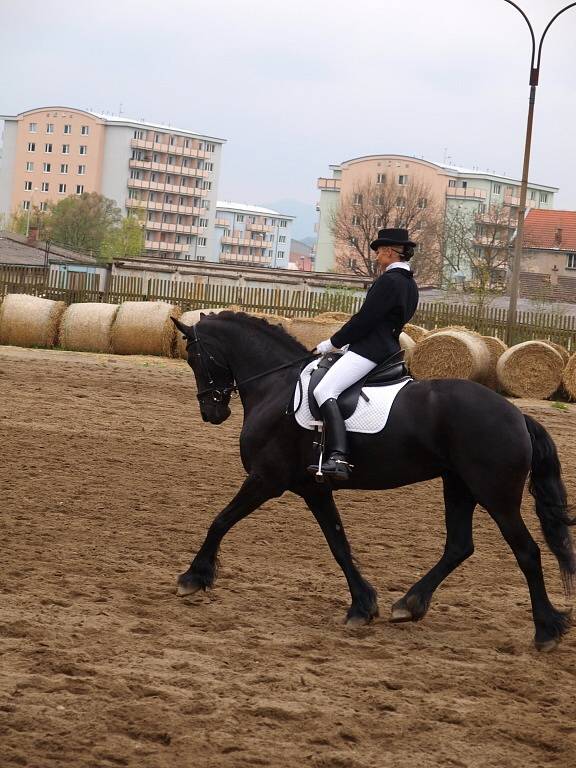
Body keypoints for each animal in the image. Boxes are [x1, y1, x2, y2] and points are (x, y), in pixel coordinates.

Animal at [173, 310, 572, 648]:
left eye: (195, 358)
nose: (212, 412)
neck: (277, 387)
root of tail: (518, 415)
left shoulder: (266, 479)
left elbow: (220, 521)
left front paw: (192, 577)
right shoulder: (313, 488)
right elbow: (339, 544)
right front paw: (362, 606)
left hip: (496, 495)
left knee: (527, 552)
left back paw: (546, 630)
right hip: (459, 486)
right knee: (460, 546)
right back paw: (410, 603)